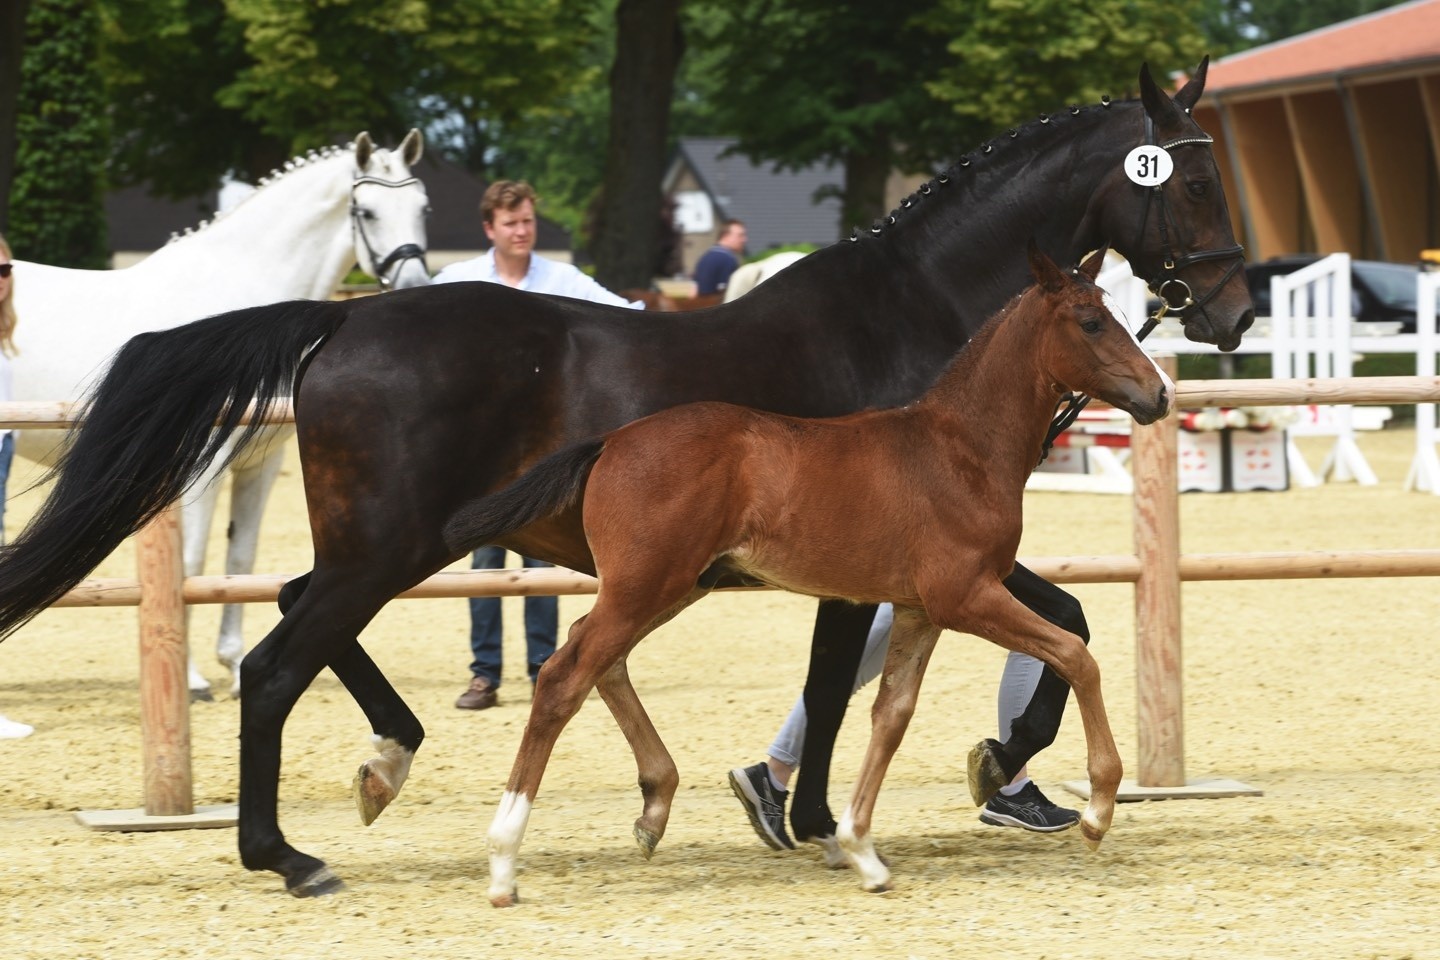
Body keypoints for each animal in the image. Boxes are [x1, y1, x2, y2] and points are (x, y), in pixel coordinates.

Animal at [11, 129, 429, 699]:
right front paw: (189, 679)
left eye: (423, 207)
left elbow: (240, 559)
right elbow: (191, 565)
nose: (416, 287)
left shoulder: (260, 466)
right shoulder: (199, 467)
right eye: (365, 211)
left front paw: (232, 667)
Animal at [455, 244, 1175, 903]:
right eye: (1091, 321)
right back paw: (503, 861)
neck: (961, 449)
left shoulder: (918, 610)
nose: (1160, 393)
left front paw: (862, 850)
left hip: (671, 588)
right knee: (562, 677)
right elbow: (1075, 654)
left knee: (597, 657)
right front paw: (1098, 809)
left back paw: (653, 811)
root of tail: (612, 441)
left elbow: (892, 713)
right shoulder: (964, 596)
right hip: (645, 588)